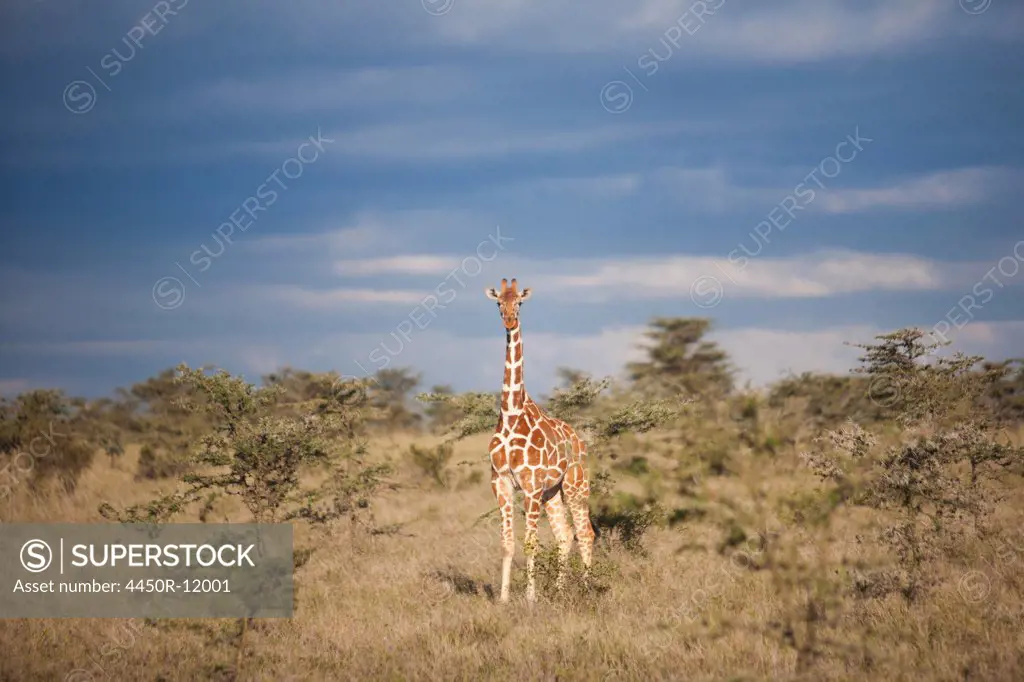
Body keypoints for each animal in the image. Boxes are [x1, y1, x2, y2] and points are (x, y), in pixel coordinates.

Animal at [483, 276, 598, 602]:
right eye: (499, 302)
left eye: (520, 302)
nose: (509, 320)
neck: (511, 414)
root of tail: (579, 441)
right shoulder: (501, 482)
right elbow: (507, 543)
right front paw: (504, 598)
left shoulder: (531, 486)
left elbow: (530, 543)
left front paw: (530, 598)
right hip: (552, 493)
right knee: (565, 534)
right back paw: (559, 591)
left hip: (575, 486)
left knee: (585, 532)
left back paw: (586, 589)